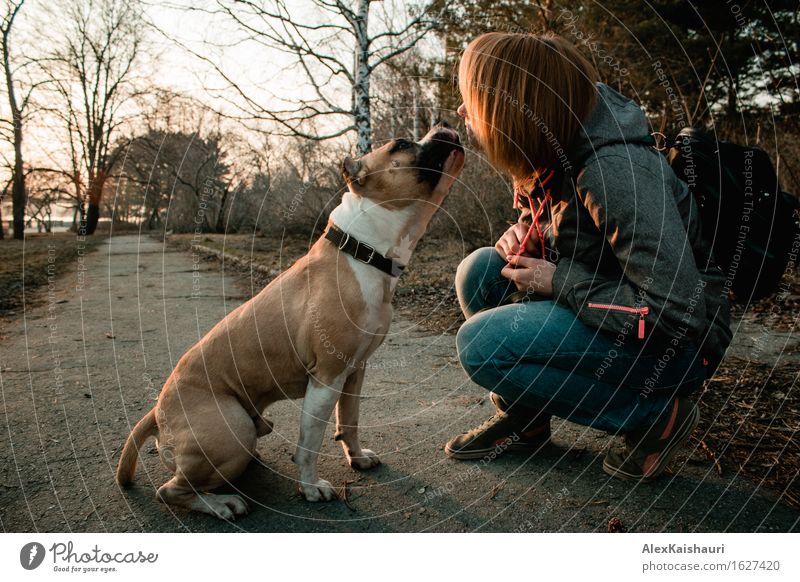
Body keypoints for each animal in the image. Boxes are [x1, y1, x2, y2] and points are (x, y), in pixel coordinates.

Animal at [112, 123, 462, 520]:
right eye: (401, 144)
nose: (445, 126)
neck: (363, 250)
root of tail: (157, 413)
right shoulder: (326, 378)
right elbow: (310, 440)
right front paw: (310, 488)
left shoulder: (354, 371)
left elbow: (350, 420)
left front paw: (356, 458)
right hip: (231, 429)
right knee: (170, 490)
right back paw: (221, 503)